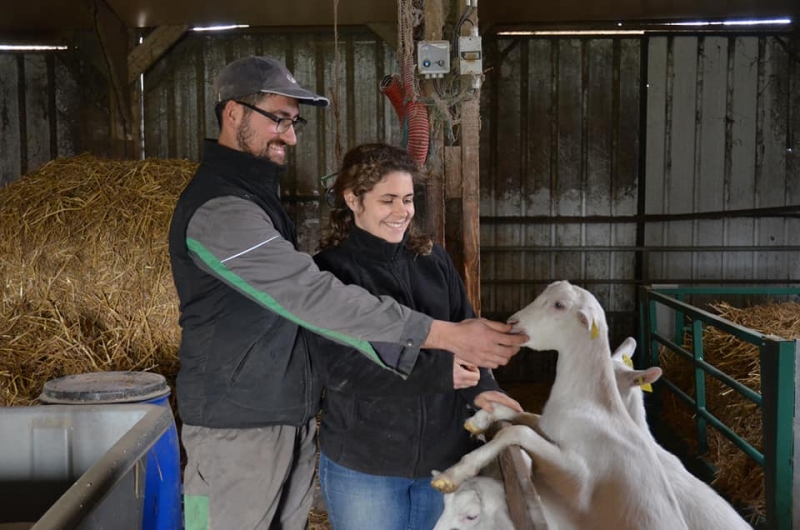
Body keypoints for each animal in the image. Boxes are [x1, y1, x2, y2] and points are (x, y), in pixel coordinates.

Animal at [432, 280, 688, 528]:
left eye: (559, 305)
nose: (512, 321)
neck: (593, 404)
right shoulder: (550, 427)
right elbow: (517, 411)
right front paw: (479, 420)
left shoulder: (577, 478)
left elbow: (517, 432)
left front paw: (453, 474)